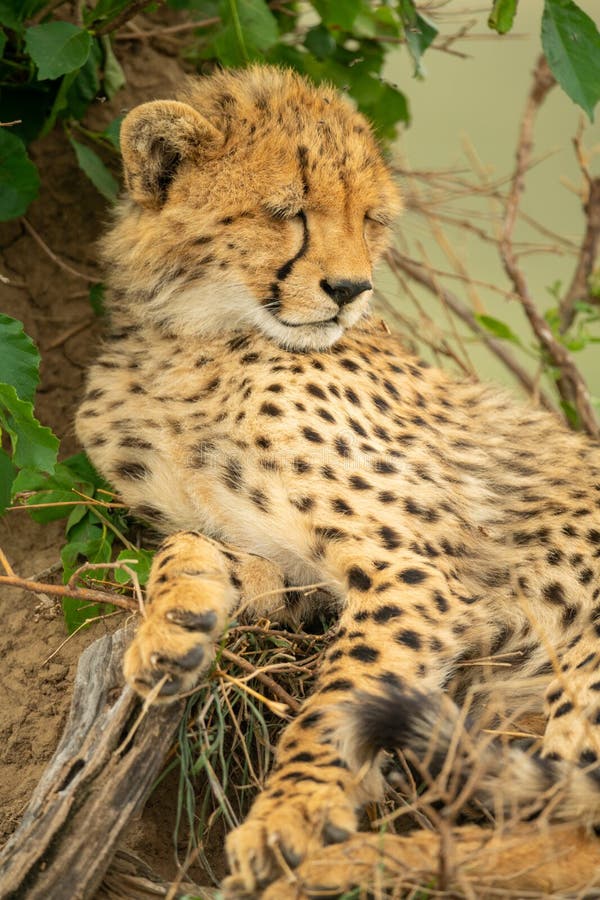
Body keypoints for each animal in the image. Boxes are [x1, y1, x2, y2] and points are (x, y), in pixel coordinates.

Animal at [75, 65, 600, 898]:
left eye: (372, 219)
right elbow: (193, 544)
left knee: (566, 844)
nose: (352, 288)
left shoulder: (417, 566)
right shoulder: (302, 576)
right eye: (288, 211)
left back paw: (345, 865)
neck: (192, 341)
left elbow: (343, 697)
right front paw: (174, 624)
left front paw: (288, 819)